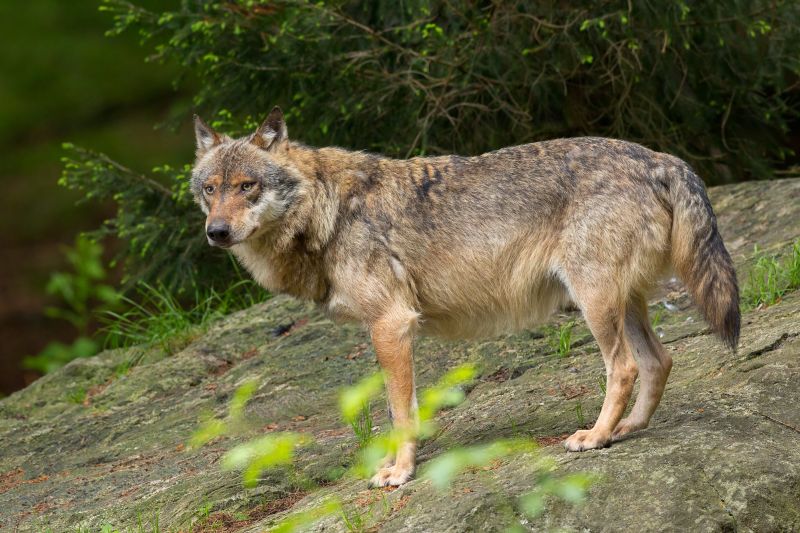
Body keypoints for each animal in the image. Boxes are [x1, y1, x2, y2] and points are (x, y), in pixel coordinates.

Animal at [191, 107, 740, 486]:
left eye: (247, 186)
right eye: (210, 189)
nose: (216, 232)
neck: (326, 210)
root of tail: (659, 157)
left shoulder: (391, 325)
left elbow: (399, 413)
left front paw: (400, 472)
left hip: (596, 303)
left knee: (624, 367)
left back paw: (597, 436)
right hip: (621, 304)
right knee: (659, 360)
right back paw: (629, 429)